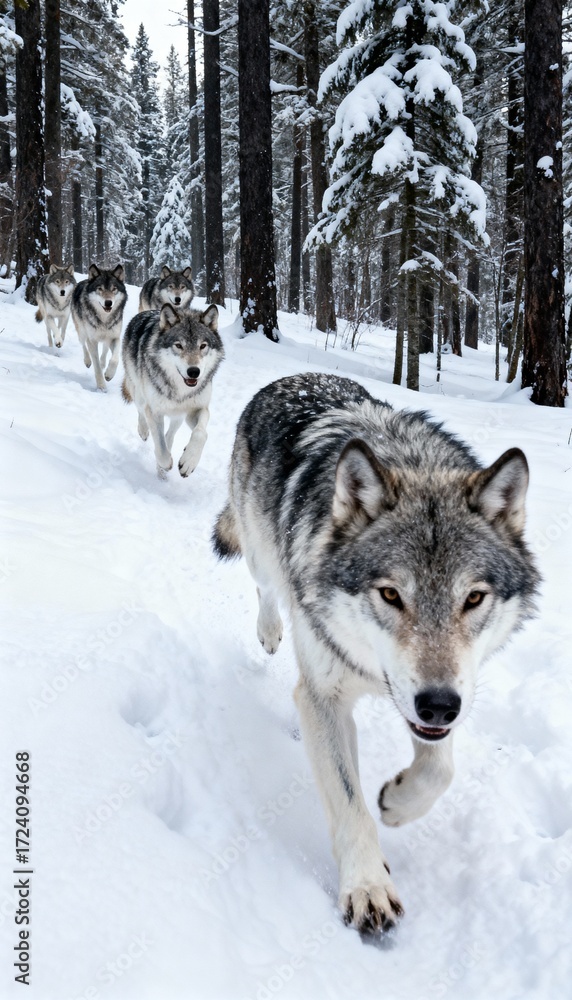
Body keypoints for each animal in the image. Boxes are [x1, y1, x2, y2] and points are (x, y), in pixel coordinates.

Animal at [122, 304, 223, 476]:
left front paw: (188, 461)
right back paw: (143, 432)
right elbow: (160, 447)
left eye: (202, 346)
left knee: (170, 435)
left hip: (179, 415)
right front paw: (165, 463)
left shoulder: (197, 409)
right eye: (179, 346)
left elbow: (201, 433)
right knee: (141, 411)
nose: (194, 371)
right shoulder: (154, 411)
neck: (180, 391)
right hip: (139, 393)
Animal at [213, 372, 540, 935]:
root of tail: (292, 377)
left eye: (473, 599)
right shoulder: (323, 695)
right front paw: (367, 888)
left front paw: (399, 804)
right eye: (391, 595)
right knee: (267, 587)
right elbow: (349, 802)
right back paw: (271, 631)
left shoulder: (444, 695)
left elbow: (439, 769)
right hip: (258, 553)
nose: (438, 706)